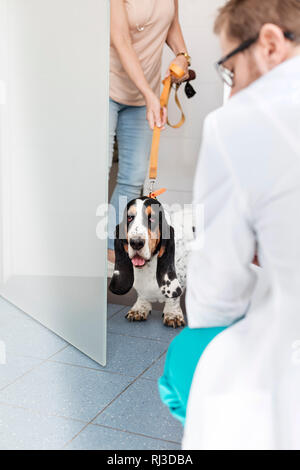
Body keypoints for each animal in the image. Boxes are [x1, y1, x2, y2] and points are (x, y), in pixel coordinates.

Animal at [108, 195, 188, 326]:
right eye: (129, 217)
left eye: (152, 218)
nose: (136, 243)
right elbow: (141, 295)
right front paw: (139, 309)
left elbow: (174, 297)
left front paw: (173, 314)